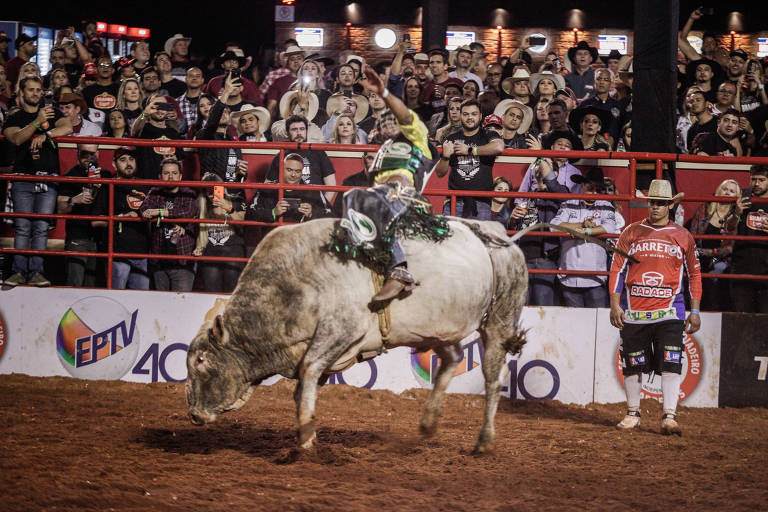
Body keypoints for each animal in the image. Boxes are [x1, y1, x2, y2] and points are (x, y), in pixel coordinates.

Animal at [188, 218, 528, 454]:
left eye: (201, 360)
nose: (193, 415)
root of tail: (493, 234)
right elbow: (304, 386)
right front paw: (309, 432)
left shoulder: (341, 330)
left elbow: (308, 372)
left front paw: (305, 438)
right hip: (436, 330)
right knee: (452, 358)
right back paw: (429, 421)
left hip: (499, 320)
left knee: (493, 378)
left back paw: (484, 441)